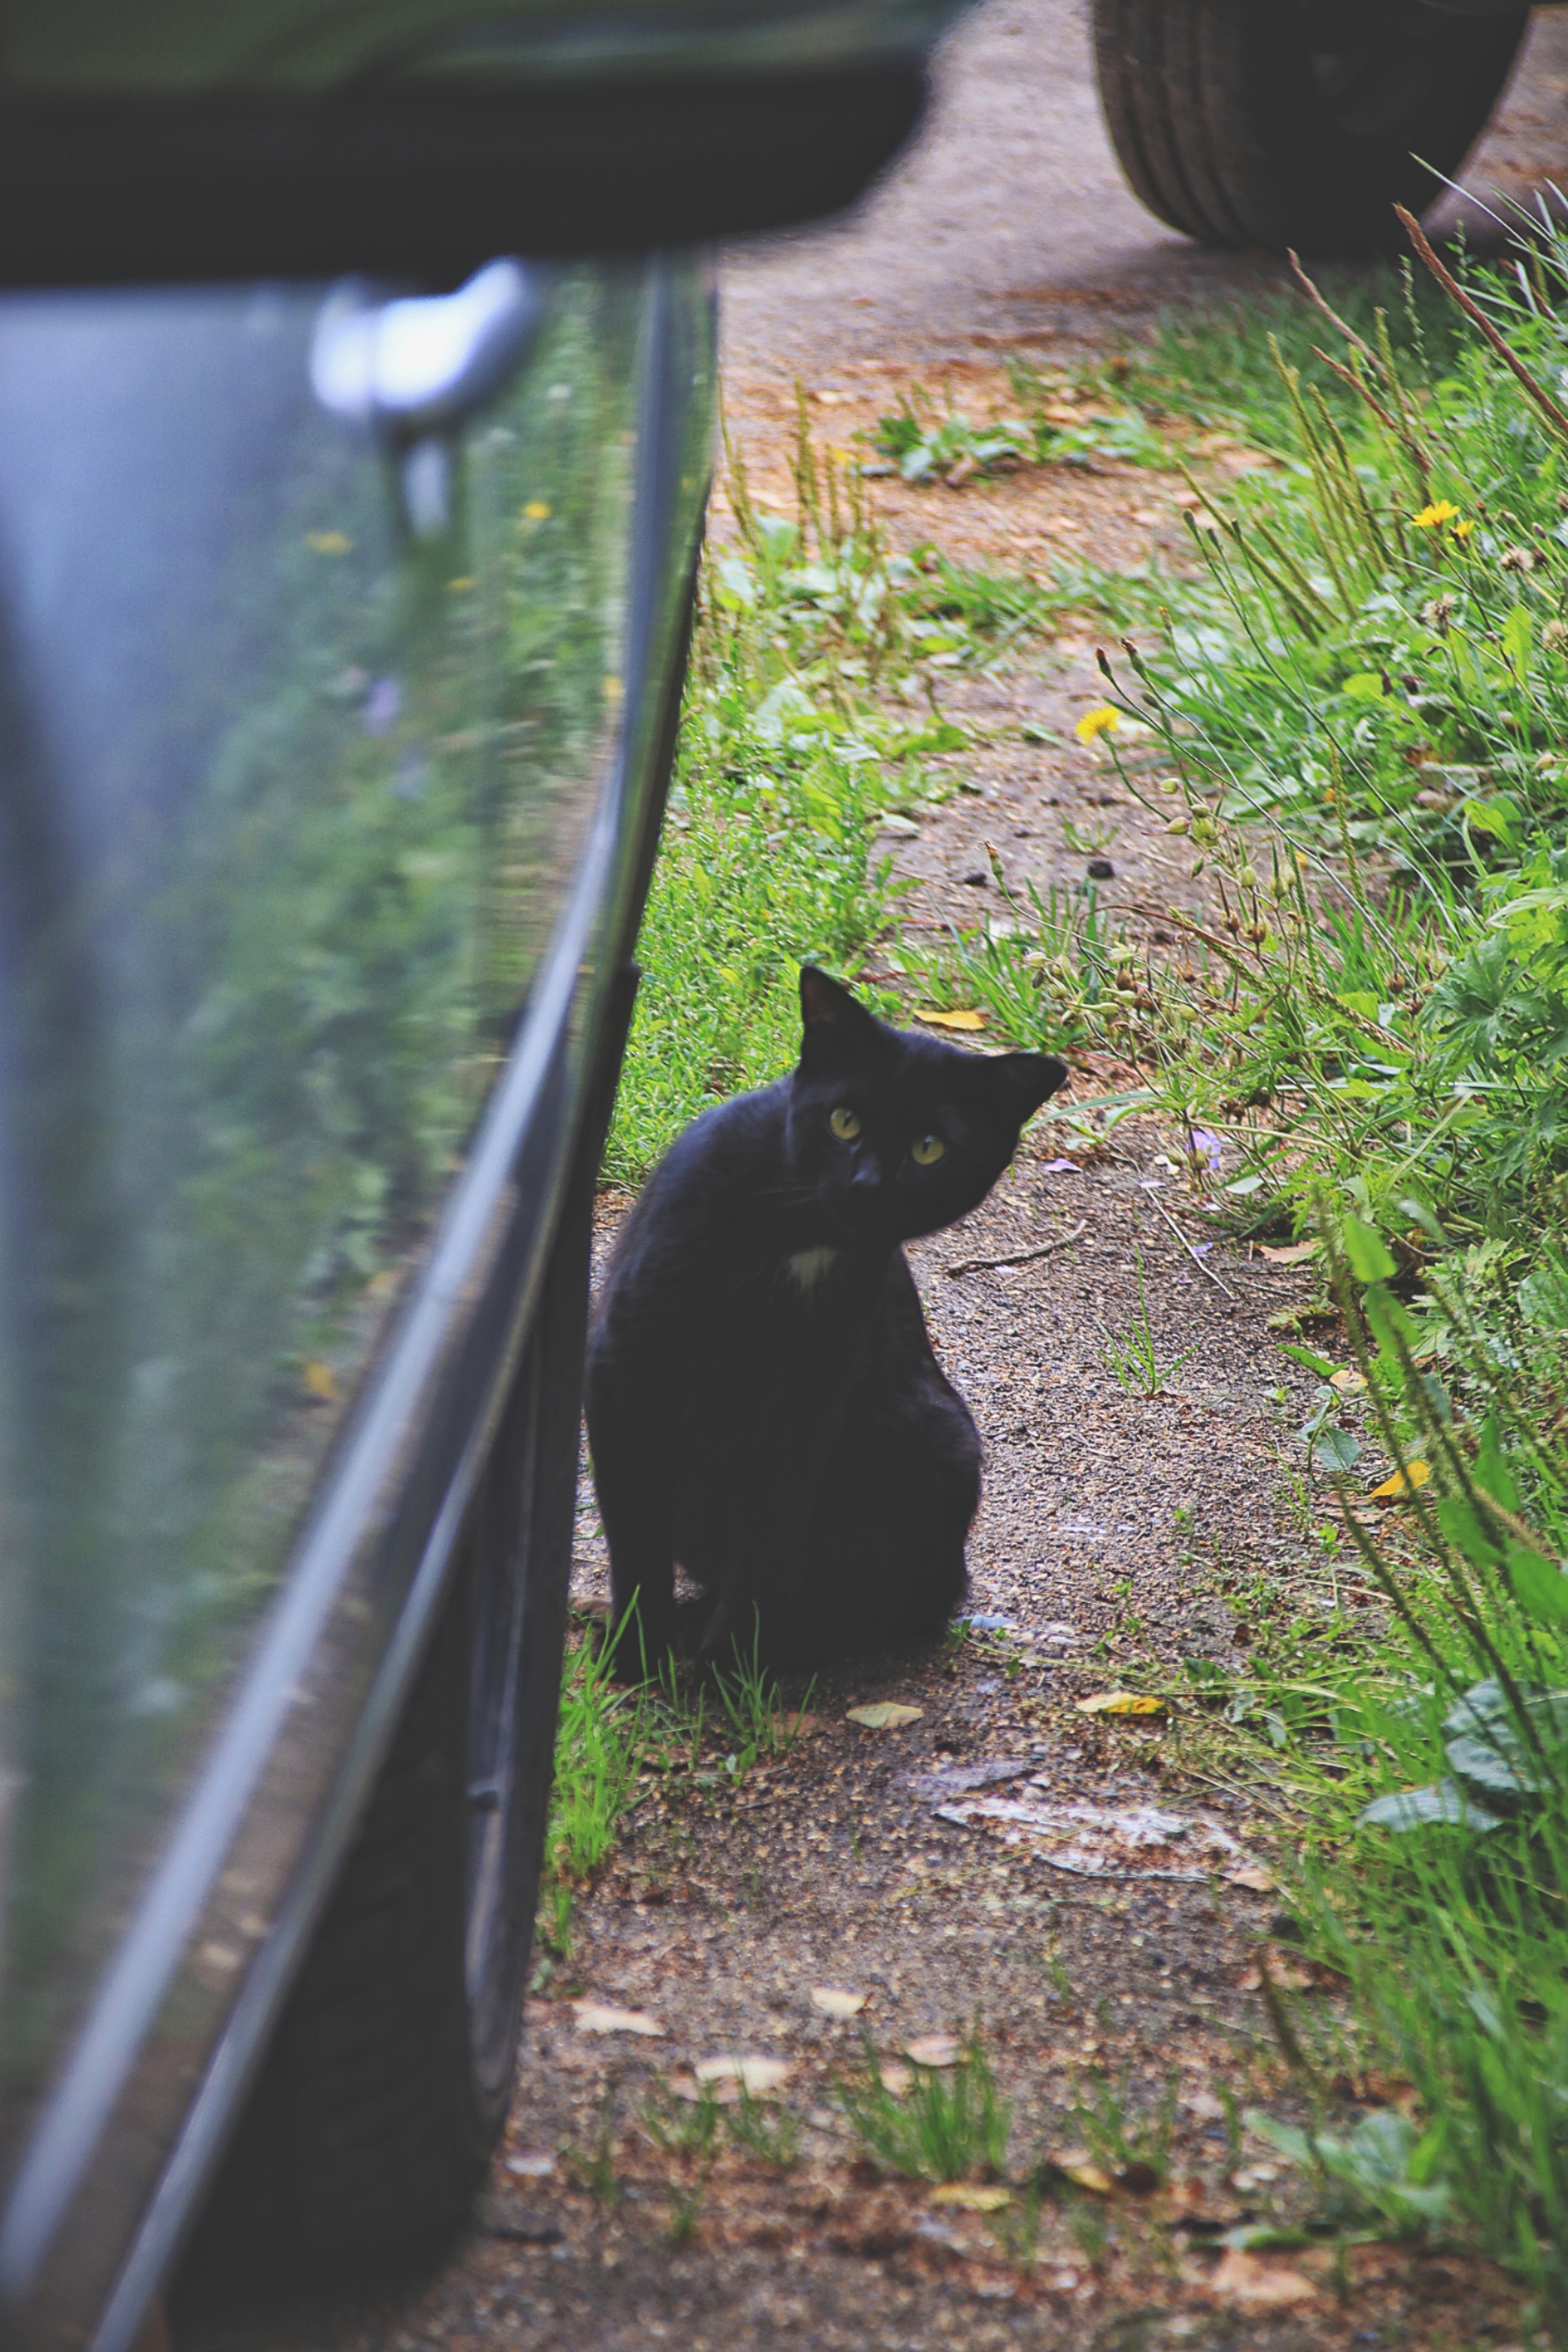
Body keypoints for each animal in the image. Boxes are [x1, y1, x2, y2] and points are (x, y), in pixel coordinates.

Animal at [583, 964, 1072, 1684]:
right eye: (844, 1121)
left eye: (929, 1149)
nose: (867, 1184)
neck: (799, 1234)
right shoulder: (626, 1362)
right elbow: (635, 1529)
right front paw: (635, 1658)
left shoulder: (805, 1405)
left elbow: (765, 1538)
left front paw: (730, 1664)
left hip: (936, 1442)